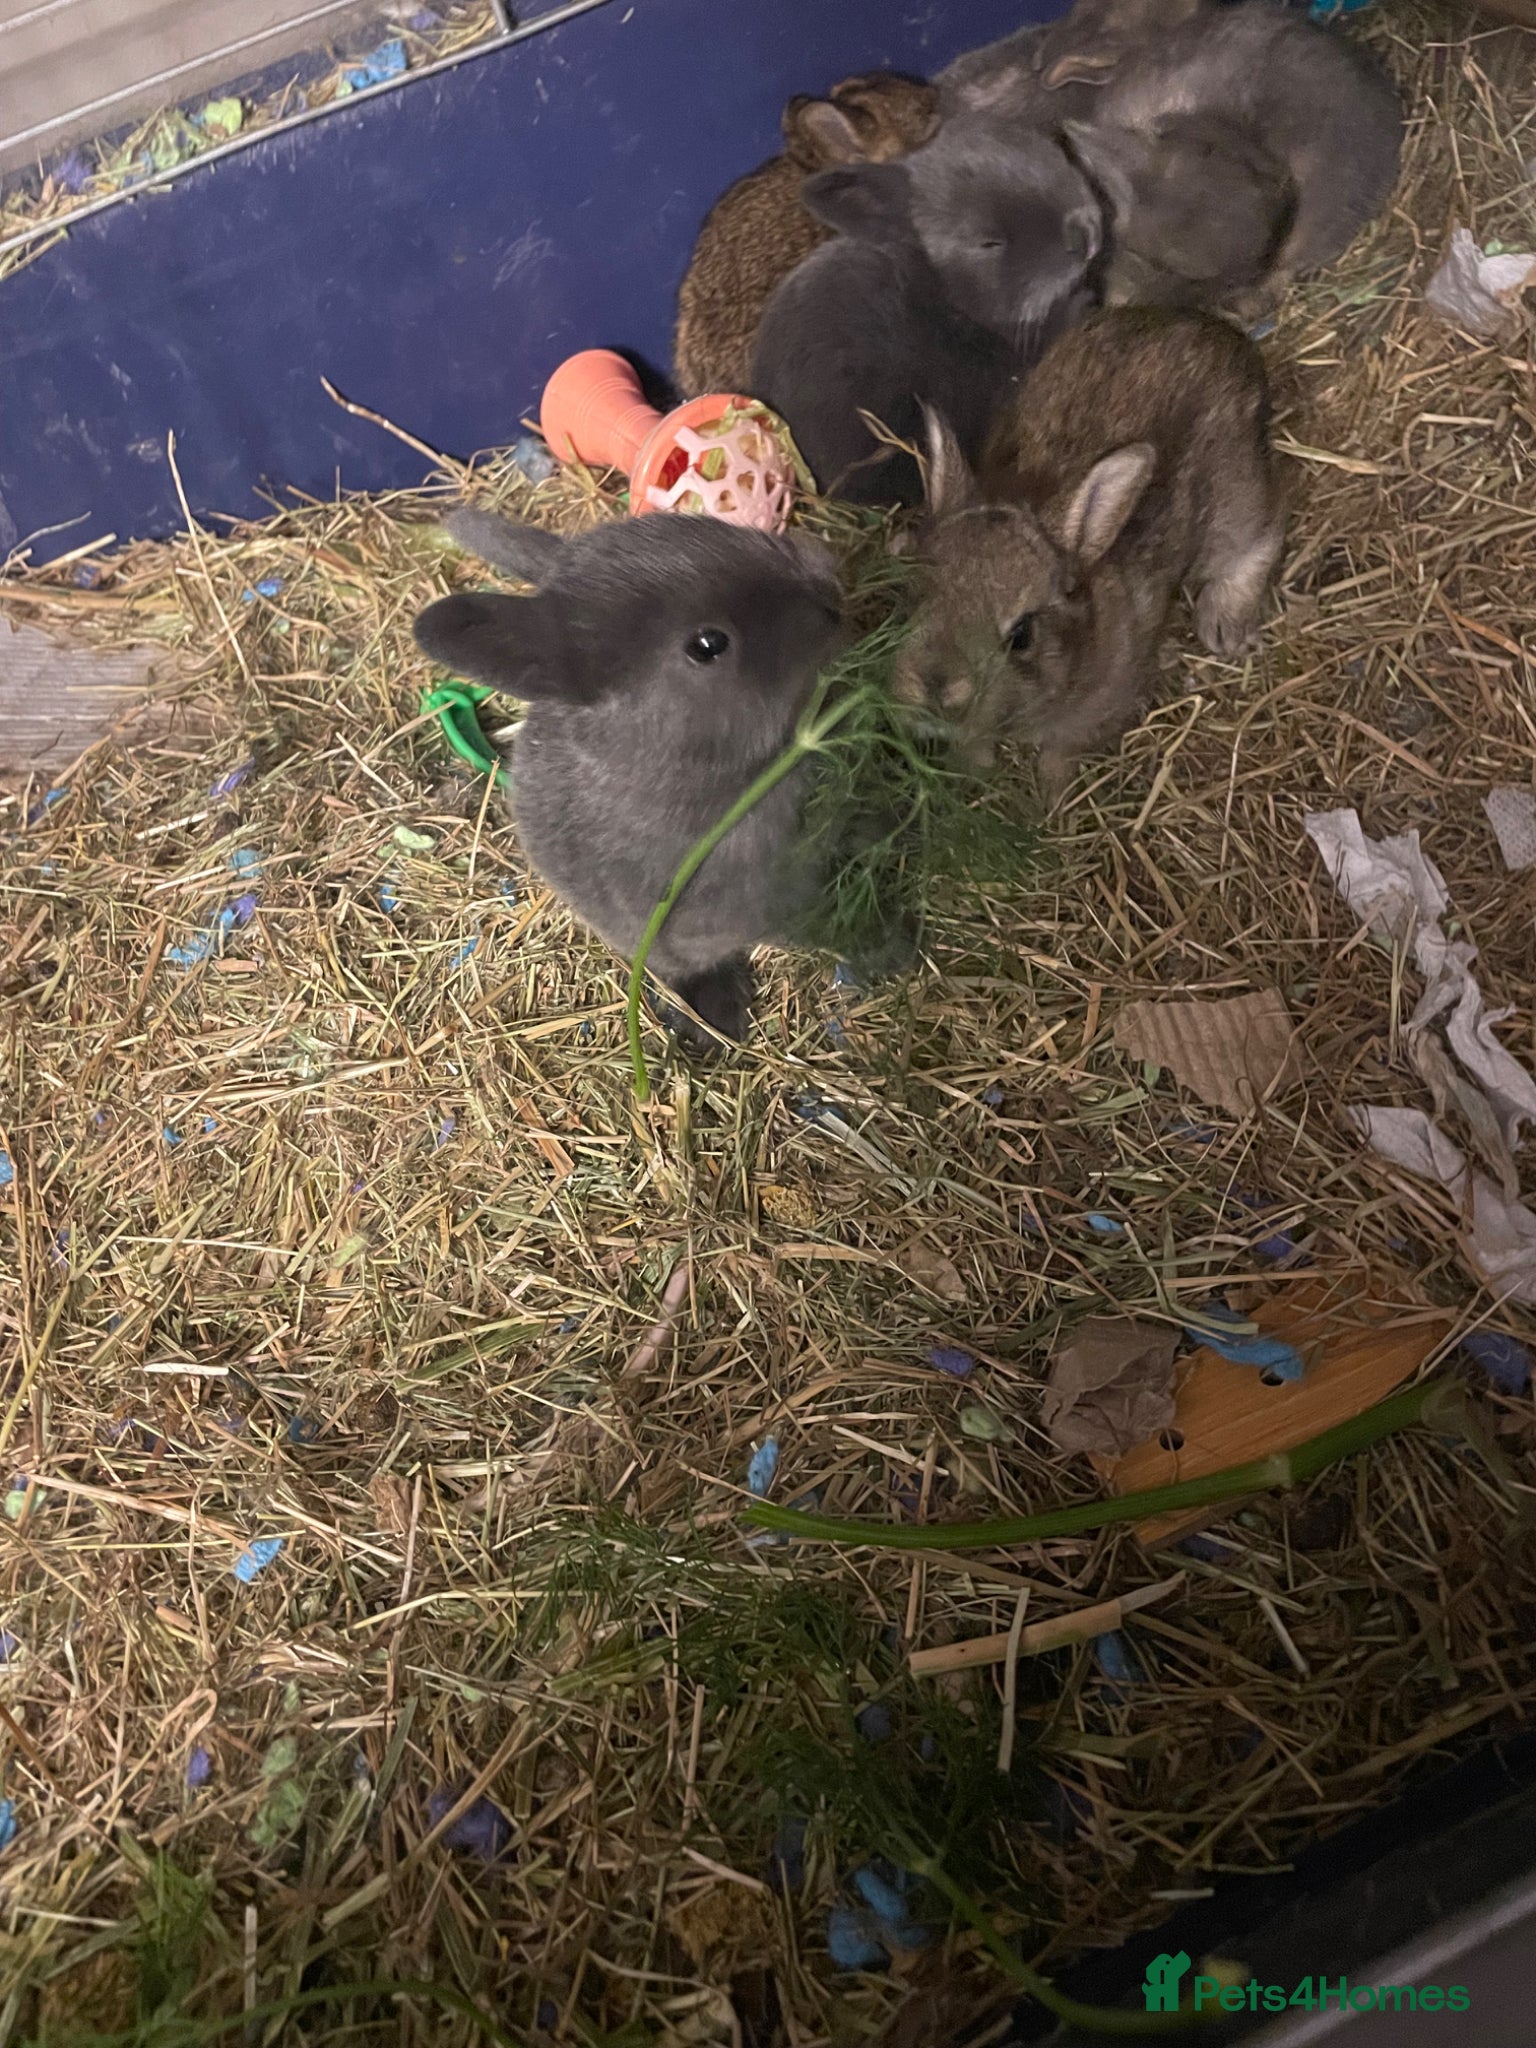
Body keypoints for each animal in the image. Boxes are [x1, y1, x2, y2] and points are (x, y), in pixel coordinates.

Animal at [894, 306, 1284, 795]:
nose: (933, 691)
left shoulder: (1097, 710)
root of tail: (1228, 335)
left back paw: (1225, 624)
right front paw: (973, 773)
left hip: (1236, 497)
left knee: (1263, 533)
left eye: (1022, 636)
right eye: (908, 598)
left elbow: (1061, 753)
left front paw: (1051, 794)